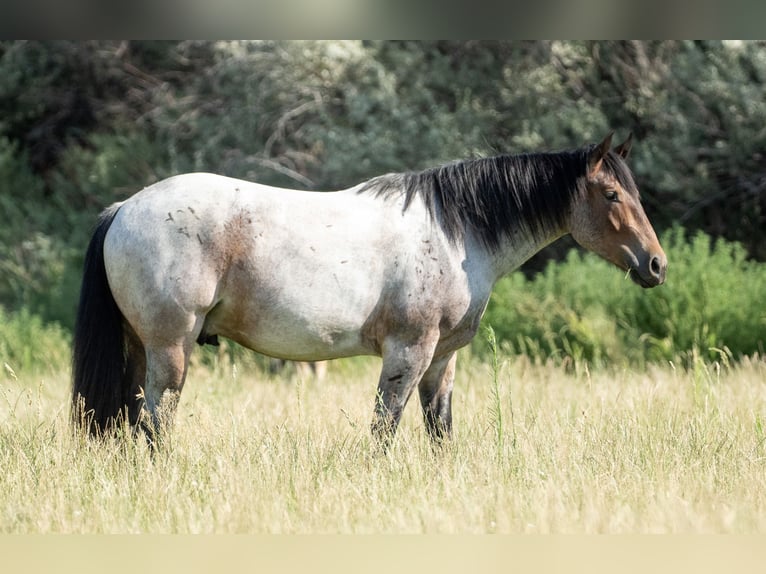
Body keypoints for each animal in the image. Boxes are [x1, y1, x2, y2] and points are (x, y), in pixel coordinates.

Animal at [73, 134, 672, 446]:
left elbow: (438, 428)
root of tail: (124, 208)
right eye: (613, 195)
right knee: (155, 421)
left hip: (140, 346)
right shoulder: (409, 351)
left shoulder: (442, 359)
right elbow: (385, 428)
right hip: (169, 349)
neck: (454, 230)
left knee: (131, 418)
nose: (656, 265)